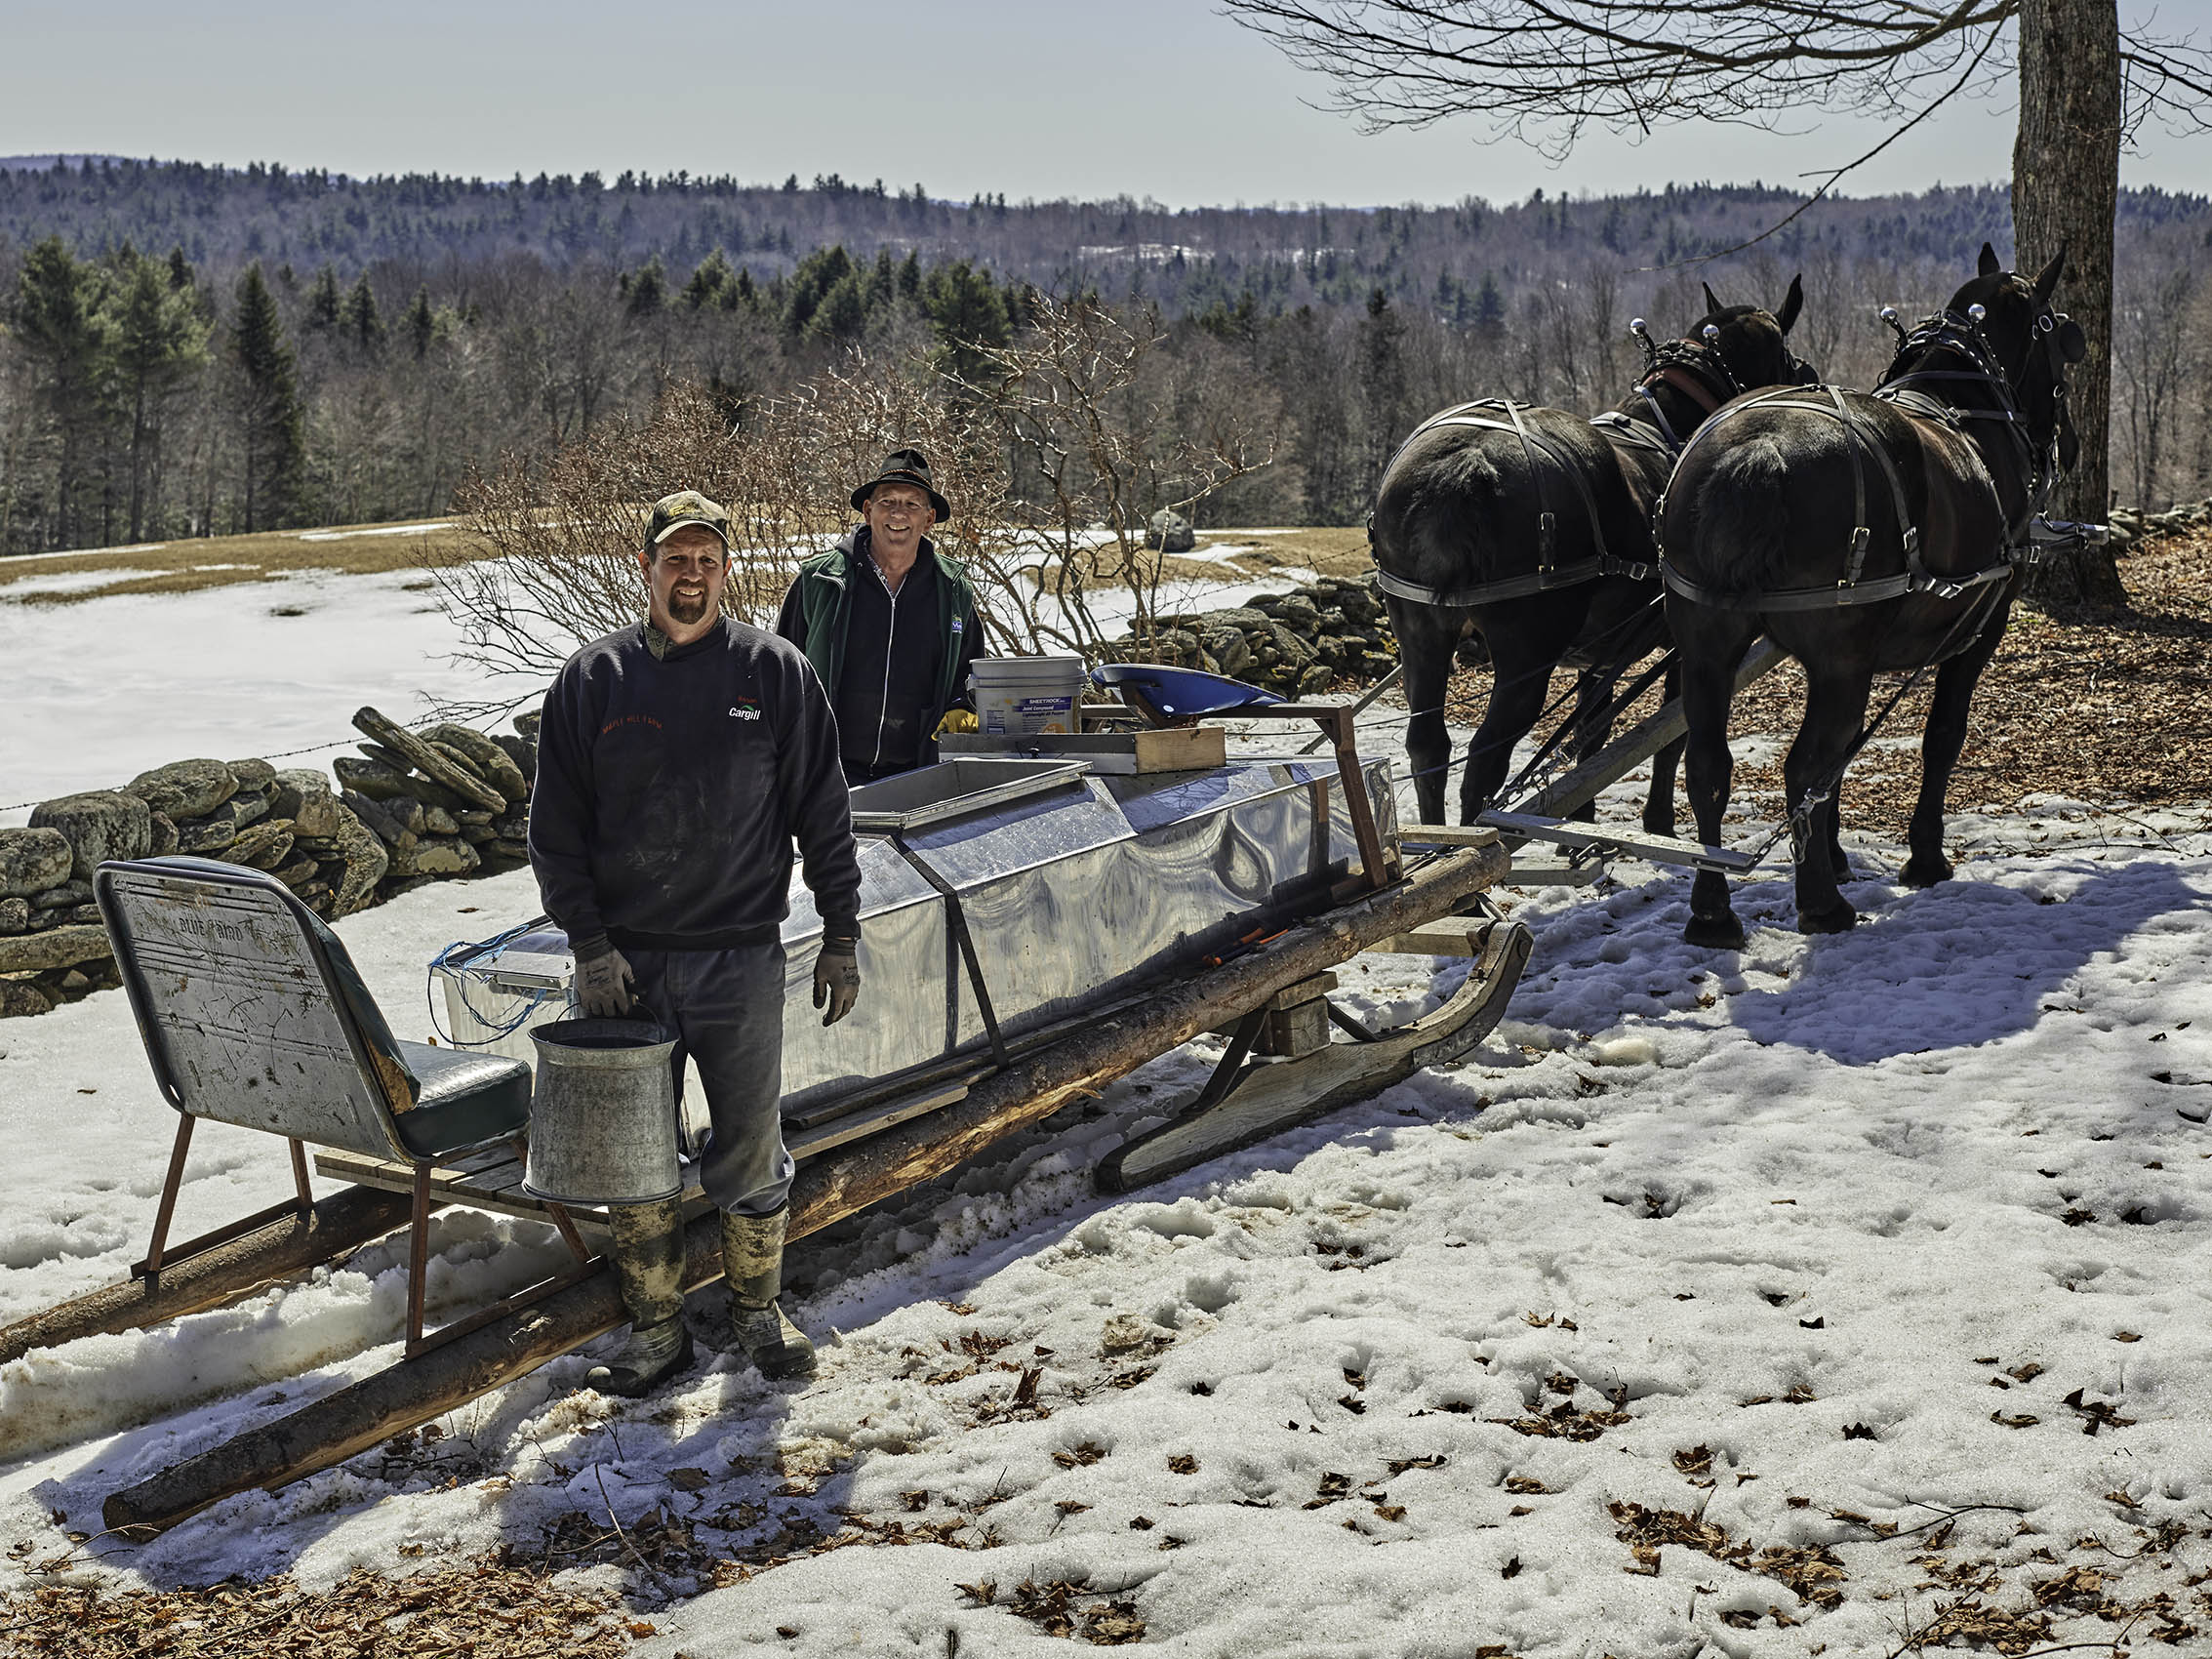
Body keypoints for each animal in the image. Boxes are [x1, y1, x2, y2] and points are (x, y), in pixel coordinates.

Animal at [1371, 279, 1811, 831]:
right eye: (1786, 355)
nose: (1809, 376)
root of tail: (1463, 465)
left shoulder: (1601, 653)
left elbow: (1589, 736)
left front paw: (1578, 817)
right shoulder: (1683, 645)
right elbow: (1669, 737)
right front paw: (1657, 820)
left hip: (1419, 631)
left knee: (1428, 748)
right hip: (1524, 655)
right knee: (1483, 765)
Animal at [1657, 245, 2088, 947]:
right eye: (2062, 340)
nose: (2070, 444)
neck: (1962, 405)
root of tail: (1757, 451)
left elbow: (1844, 755)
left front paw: (1832, 853)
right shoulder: (1977, 629)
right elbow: (1939, 737)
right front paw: (1924, 857)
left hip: (1707, 647)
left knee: (1709, 767)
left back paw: (1713, 913)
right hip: (1841, 660)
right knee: (1803, 763)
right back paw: (1820, 906)